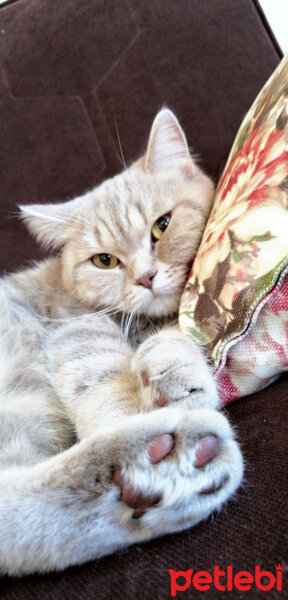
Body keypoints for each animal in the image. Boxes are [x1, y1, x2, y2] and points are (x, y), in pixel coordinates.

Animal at [0, 109, 243, 576]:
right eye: (105, 260)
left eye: (162, 226)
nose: (145, 277)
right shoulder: (76, 329)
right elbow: (103, 380)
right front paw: (134, 416)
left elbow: (172, 339)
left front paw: (176, 376)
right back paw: (156, 462)